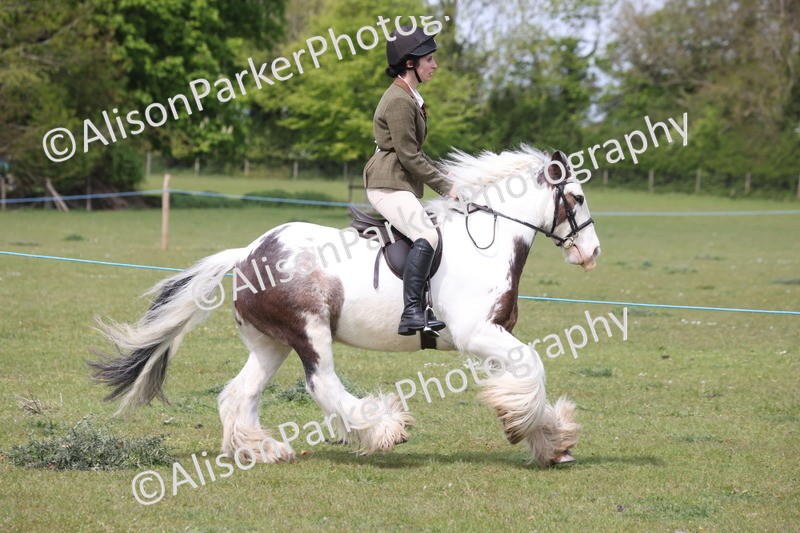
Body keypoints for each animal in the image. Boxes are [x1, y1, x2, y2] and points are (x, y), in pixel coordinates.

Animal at [90, 146, 601, 467]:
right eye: (575, 198)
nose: (591, 252)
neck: (486, 242)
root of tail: (247, 252)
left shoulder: (493, 336)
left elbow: (525, 373)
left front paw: (551, 441)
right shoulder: (477, 333)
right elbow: (534, 367)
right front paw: (533, 430)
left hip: (271, 343)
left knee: (239, 393)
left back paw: (261, 450)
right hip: (308, 329)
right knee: (322, 384)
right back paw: (383, 429)